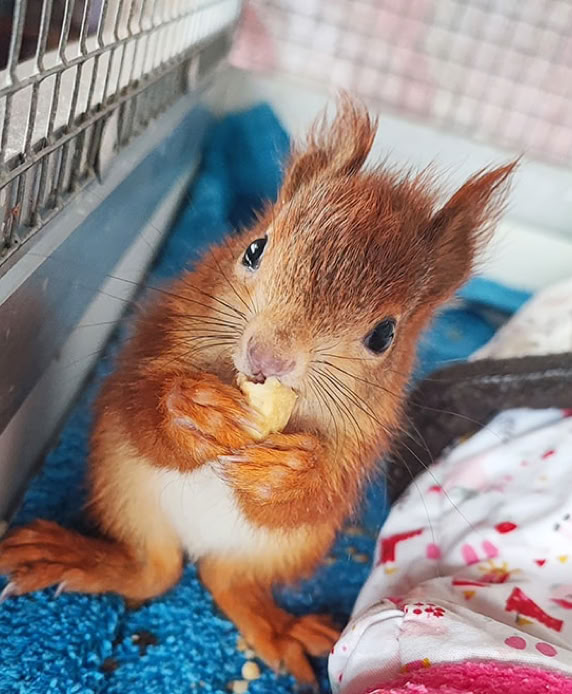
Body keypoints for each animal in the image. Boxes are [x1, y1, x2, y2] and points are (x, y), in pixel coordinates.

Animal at [0, 96, 516, 686]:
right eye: (254, 249)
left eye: (384, 335)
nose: (268, 358)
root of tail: (197, 542)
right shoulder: (158, 337)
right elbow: (141, 407)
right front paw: (191, 411)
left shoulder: (365, 440)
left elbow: (319, 492)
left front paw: (290, 470)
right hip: (123, 482)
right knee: (156, 571)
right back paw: (75, 557)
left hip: (284, 548)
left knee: (223, 582)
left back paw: (279, 629)